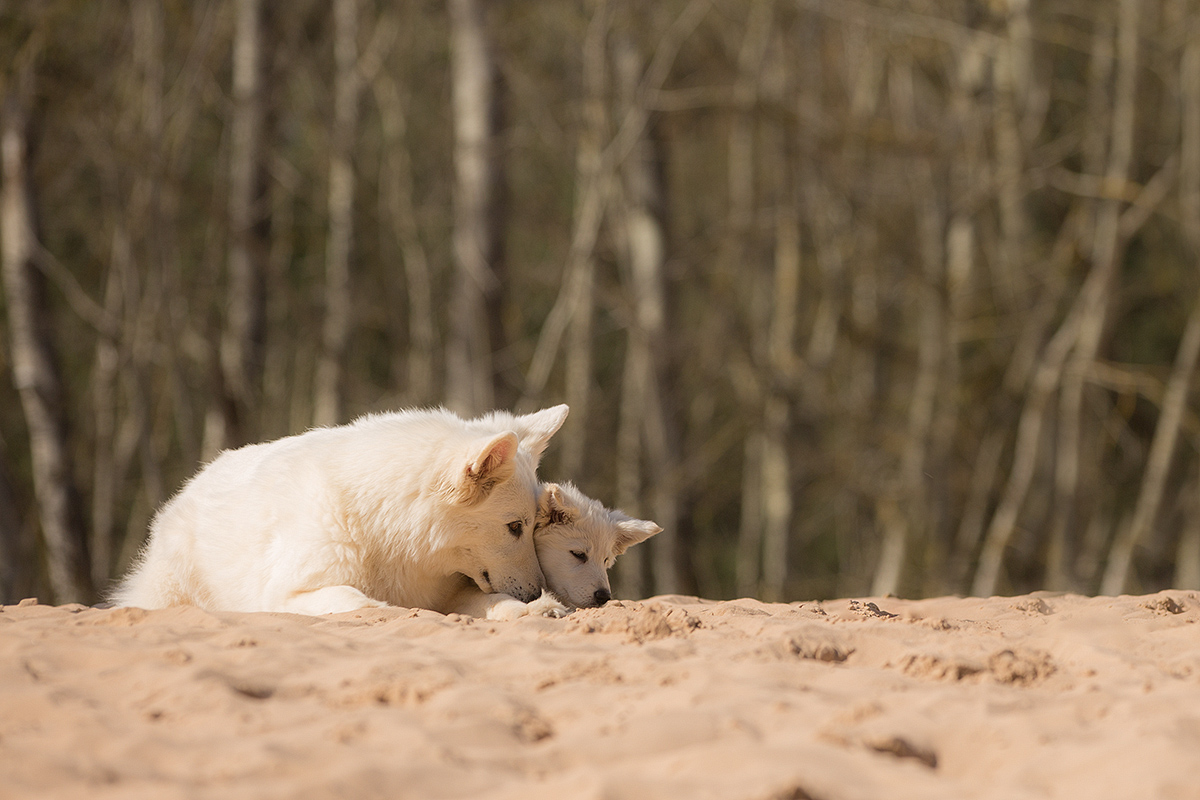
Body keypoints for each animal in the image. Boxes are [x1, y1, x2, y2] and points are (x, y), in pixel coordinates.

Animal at [112, 407, 571, 618]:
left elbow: (488, 600)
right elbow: (366, 603)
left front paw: (536, 610)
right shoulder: (290, 594)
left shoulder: (452, 588)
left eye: (530, 528)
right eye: (514, 527)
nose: (536, 590)